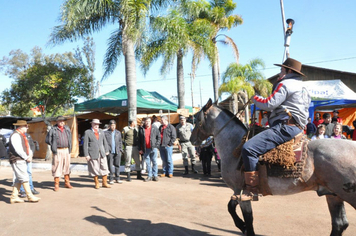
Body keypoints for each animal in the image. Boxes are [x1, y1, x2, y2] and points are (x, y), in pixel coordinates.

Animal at [191, 98, 356, 235]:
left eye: (197, 119)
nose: (192, 139)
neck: (235, 147)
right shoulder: (237, 191)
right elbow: (230, 207)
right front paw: (241, 226)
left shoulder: (242, 192)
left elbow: (247, 218)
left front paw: (243, 226)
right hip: (333, 195)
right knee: (339, 224)